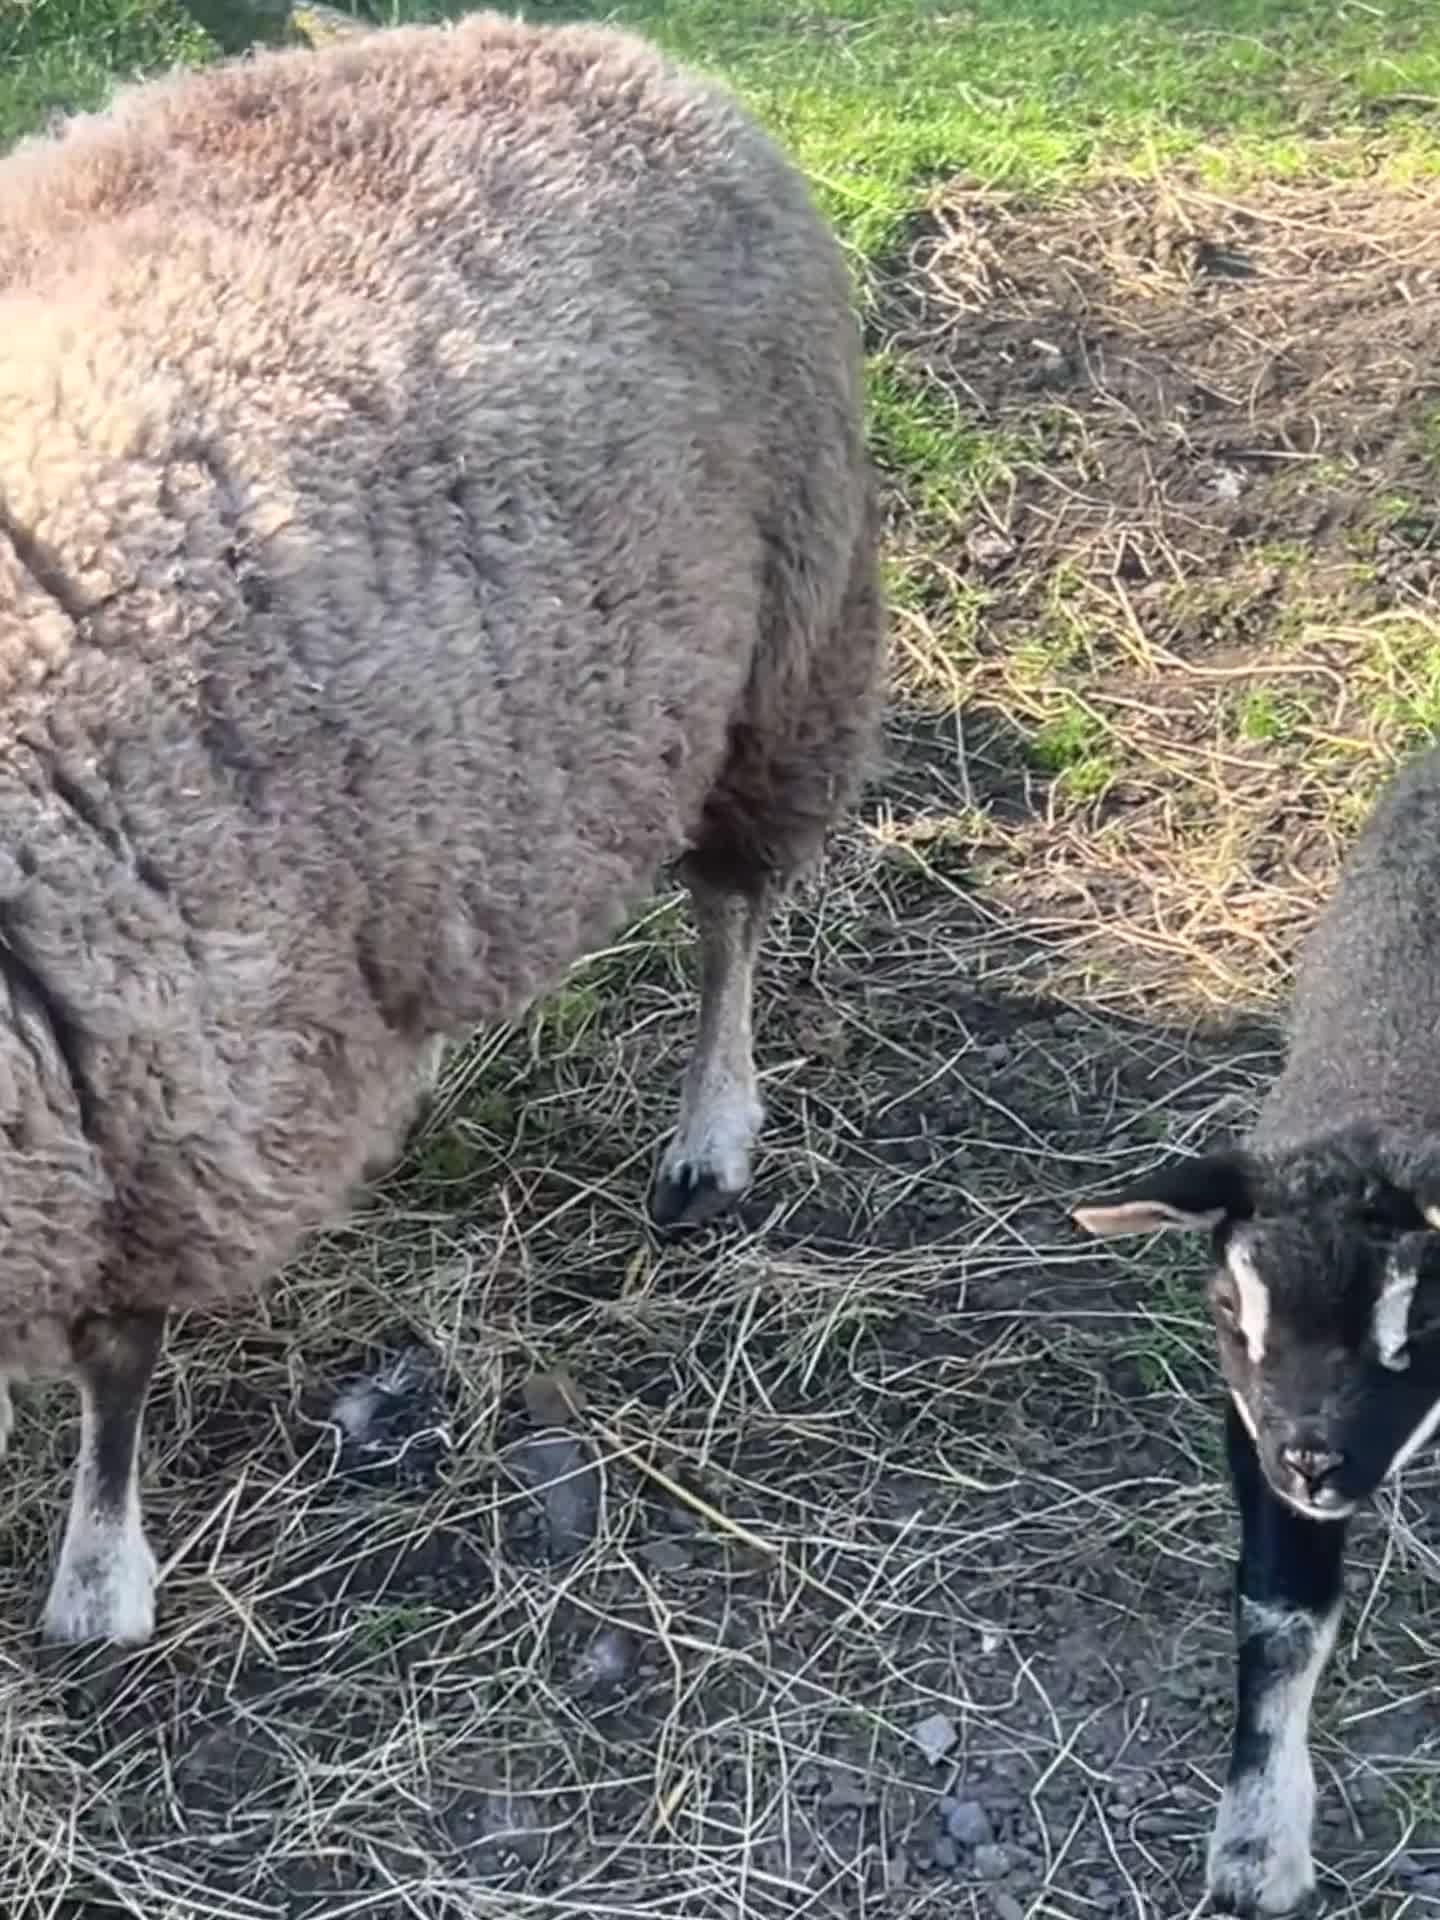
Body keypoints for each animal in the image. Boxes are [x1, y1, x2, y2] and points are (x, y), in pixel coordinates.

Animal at [0, 12, 884, 1647]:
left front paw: (100, 1570)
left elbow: (118, 1360)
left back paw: (709, 1138)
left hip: (787, 645)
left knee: (732, 916)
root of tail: (596, 48)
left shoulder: (163, 1070)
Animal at [1071, 740, 1440, 1915]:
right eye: (1230, 1311)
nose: (1313, 1463)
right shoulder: (1251, 1423)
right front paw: (1255, 1848)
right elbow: (1280, 1616)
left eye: (1419, 1313)